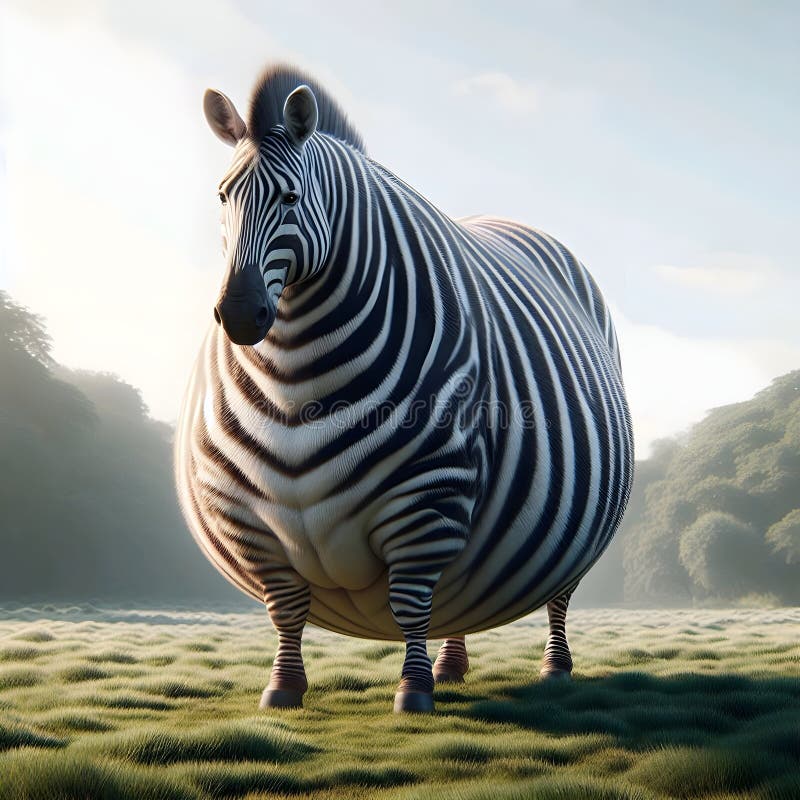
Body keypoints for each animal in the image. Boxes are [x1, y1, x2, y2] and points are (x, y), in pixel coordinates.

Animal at [175, 64, 634, 713]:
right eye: (221, 197)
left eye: (291, 198)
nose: (239, 314)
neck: (294, 381)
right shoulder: (249, 520)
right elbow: (286, 609)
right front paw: (283, 689)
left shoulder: (427, 497)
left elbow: (410, 602)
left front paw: (412, 692)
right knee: (460, 596)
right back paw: (452, 667)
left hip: (561, 535)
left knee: (556, 597)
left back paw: (554, 670)